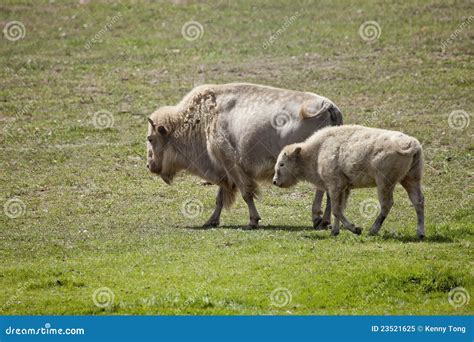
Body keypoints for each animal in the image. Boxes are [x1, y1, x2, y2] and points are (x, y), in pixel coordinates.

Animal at [146, 82, 342, 230]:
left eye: (150, 138)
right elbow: (220, 197)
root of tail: (329, 106)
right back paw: (324, 221)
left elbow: (246, 193)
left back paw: (318, 219)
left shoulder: (232, 165)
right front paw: (211, 221)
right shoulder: (224, 169)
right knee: (329, 191)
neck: (205, 117)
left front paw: (252, 221)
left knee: (322, 189)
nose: (149, 165)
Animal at [274, 124, 426, 239]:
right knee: (418, 201)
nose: (275, 181)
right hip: (411, 179)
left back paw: (373, 230)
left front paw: (355, 229)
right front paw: (335, 231)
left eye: (282, 164)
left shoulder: (334, 186)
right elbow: (339, 208)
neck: (318, 151)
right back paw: (420, 233)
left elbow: (336, 210)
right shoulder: (344, 188)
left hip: (385, 183)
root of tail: (412, 144)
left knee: (386, 204)